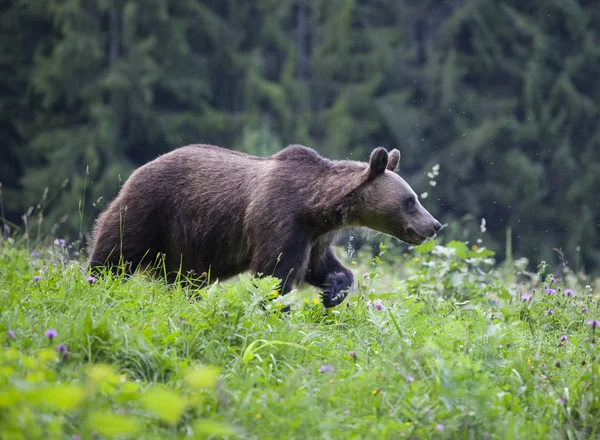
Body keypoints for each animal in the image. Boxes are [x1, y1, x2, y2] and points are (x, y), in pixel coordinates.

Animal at [88, 144, 440, 306]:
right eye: (410, 200)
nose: (434, 224)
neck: (317, 207)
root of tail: (142, 166)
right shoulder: (280, 218)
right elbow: (274, 273)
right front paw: (274, 306)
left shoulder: (316, 236)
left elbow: (322, 266)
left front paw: (333, 290)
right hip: (151, 209)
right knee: (116, 251)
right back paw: (98, 282)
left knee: (182, 280)